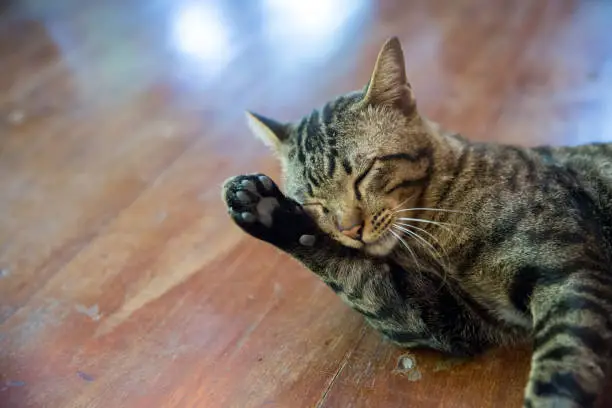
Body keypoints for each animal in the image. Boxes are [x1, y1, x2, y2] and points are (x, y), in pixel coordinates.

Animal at [222, 37, 612, 404]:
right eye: (313, 202)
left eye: (364, 174)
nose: (350, 229)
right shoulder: (441, 317)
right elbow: (352, 277)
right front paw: (266, 210)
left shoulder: (569, 270)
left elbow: (562, 370)